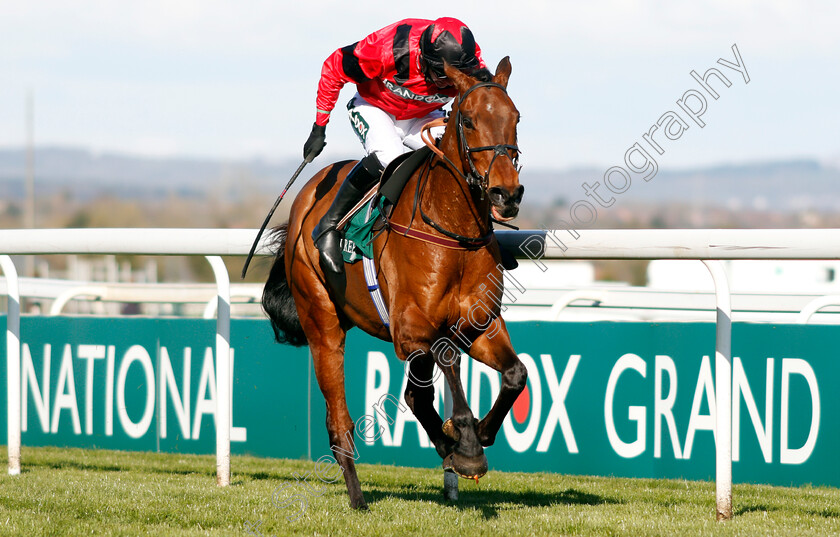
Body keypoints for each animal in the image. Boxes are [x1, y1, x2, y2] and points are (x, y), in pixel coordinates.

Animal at [262, 58, 524, 510]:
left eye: (516, 118)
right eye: (469, 120)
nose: (506, 193)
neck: (452, 231)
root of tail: (305, 197)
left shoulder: (481, 324)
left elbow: (515, 374)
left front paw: (475, 436)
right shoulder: (410, 328)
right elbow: (448, 358)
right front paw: (468, 446)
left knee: (415, 397)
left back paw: (447, 445)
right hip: (323, 325)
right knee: (339, 421)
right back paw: (358, 496)